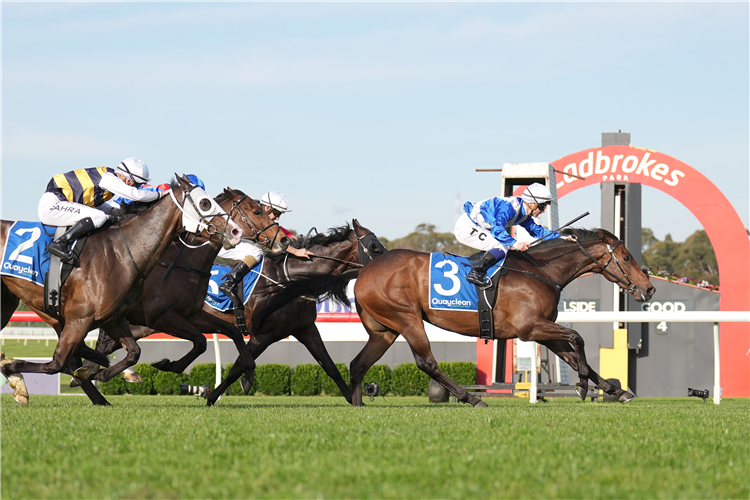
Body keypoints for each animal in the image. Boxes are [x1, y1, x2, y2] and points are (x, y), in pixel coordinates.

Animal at [0, 174, 242, 404]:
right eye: (204, 203)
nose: (236, 231)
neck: (121, 254)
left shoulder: (113, 319)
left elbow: (134, 352)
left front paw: (104, 373)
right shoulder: (82, 319)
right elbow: (56, 364)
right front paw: (12, 372)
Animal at [256, 227, 656, 406]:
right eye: (626, 256)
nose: (649, 289)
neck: (540, 271)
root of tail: (364, 270)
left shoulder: (539, 329)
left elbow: (573, 352)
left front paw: (613, 389)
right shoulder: (529, 328)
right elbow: (578, 338)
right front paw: (587, 386)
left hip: (384, 329)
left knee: (358, 364)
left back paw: (358, 404)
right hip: (407, 318)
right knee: (426, 362)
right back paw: (470, 397)